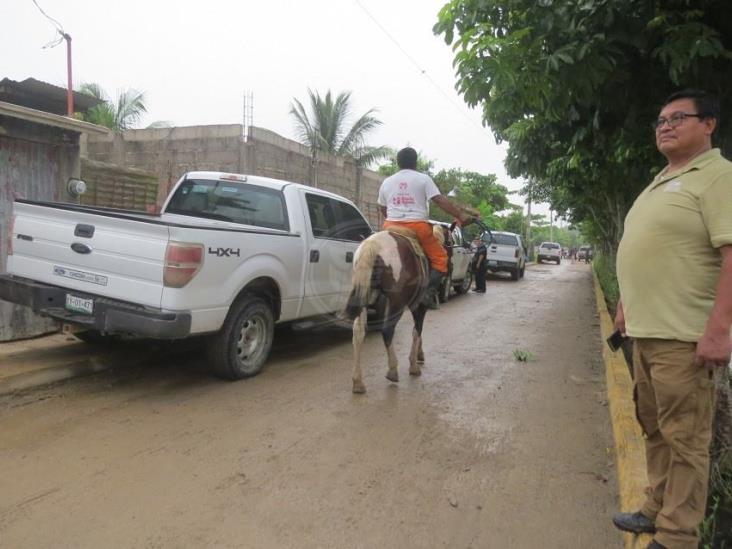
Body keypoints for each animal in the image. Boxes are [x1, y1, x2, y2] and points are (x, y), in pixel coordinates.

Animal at [344, 227, 440, 394]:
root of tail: (373, 244)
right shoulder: (419, 305)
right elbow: (417, 330)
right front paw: (414, 364)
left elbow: (418, 330)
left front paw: (419, 355)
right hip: (397, 302)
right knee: (387, 330)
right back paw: (393, 370)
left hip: (363, 294)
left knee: (358, 333)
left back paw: (357, 382)